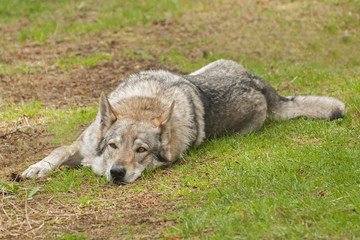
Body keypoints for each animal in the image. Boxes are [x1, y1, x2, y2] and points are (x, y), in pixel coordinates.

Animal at [21, 60, 344, 184]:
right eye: (112, 145)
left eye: (141, 151)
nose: (117, 173)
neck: (144, 104)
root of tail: (259, 83)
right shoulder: (82, 144)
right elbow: (58, 151)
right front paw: (36, 168)